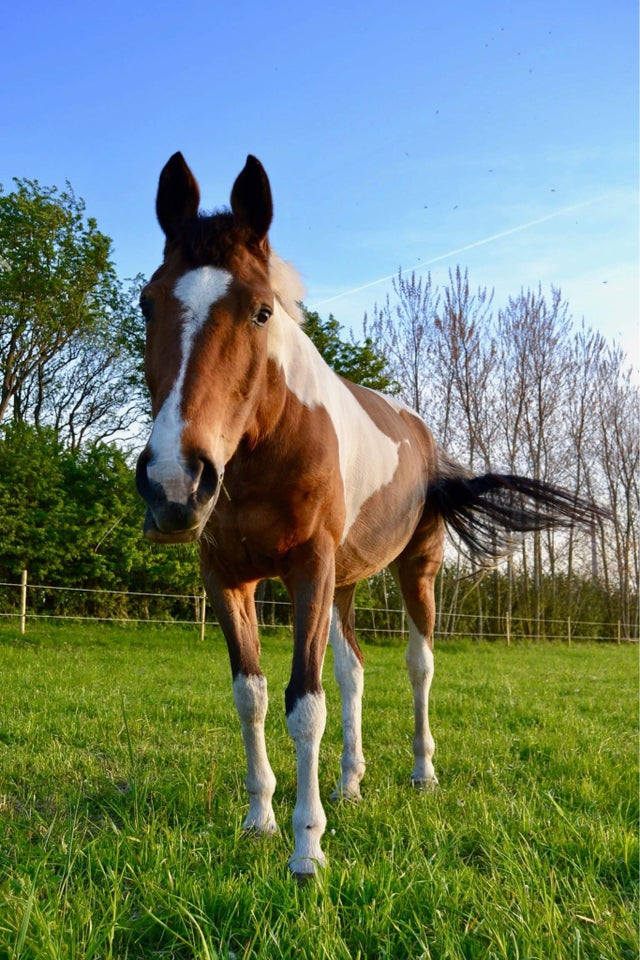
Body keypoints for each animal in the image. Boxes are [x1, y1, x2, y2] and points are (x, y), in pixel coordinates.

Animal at [136, 150, 604, 876]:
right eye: (146, 303)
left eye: (261, 311)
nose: (173, 483)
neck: (268, 447)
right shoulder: (228, 579)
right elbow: (253, 695)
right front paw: (260, 819)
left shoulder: (309, 569)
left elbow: (305, 704)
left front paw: (306, 851)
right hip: (345, 584)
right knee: (354, 670)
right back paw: (350, 782)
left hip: (413, 571)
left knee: (418, 666)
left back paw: (421, 773)